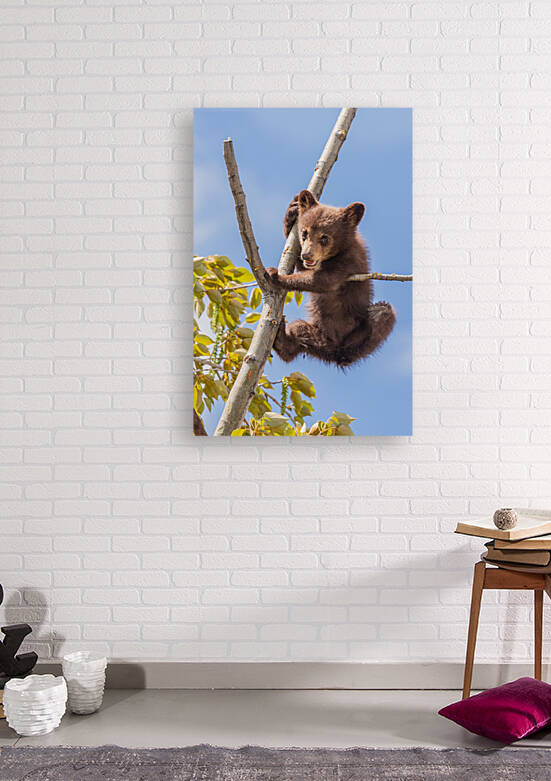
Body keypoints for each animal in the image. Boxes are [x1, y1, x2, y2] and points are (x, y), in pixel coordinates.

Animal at [266, 190, 396, 369]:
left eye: (324, 237)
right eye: (304, 233)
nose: (307, 255)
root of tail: (333, 353)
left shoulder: (349, 261)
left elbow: (324, 280)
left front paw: (275, 275)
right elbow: (305, 269)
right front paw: (292, 211)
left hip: (356, 334)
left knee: (384, 311)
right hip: (316, 333)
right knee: (298, 332)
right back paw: (281, 338)